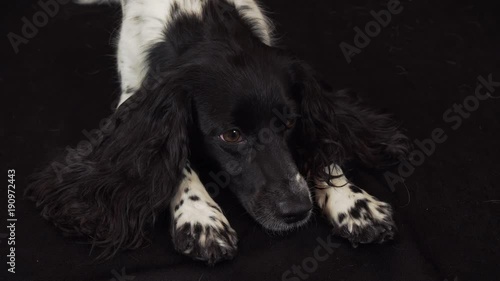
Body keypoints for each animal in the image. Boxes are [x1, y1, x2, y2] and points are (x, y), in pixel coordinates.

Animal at [25, 0, 408, 264]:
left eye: (288, 123)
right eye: (231, 135)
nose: (297, 210)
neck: (198, 18)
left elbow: (321, 146)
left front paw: (353, 202)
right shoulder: (137, 96)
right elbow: (171, 155)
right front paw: (201, 218)